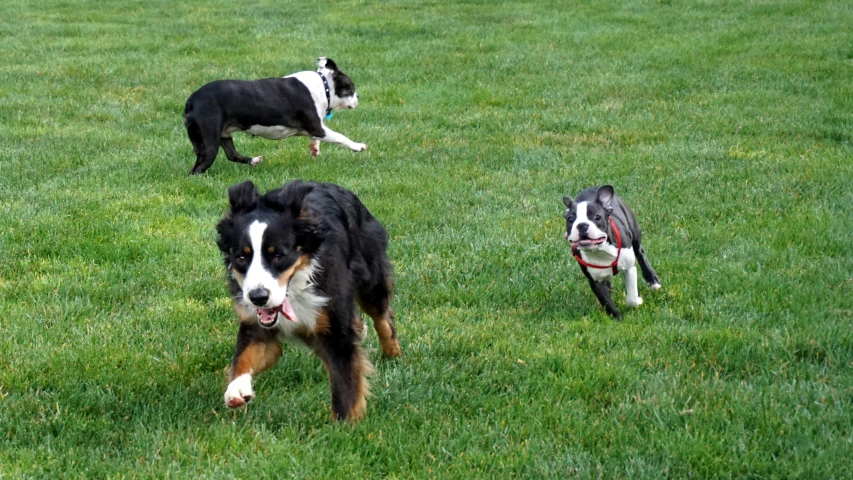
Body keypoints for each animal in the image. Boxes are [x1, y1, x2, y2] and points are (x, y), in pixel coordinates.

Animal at [183, 57, 362, 175]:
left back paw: (254, 161)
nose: (358, 97)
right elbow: (339, 137)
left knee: (232, 154)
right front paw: (357, 146)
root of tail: (191, 101)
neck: (324, 86)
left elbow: (317, 137)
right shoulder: (316, 126)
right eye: (351, 89)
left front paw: (314, 148)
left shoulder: (313, 128)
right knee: (198, 168)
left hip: (224, 134)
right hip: (210, 139)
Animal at [213, 179, 400, 420]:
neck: (295, 287)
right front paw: (237, 388)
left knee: (383, 316)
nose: (258, 298)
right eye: (242, 257)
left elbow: (344, 388)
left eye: (278, 256)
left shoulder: (336, 330)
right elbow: (242, 356)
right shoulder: (256, 324)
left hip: (371, 279)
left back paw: (392, 351)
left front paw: (344, 425)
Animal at [564, 186, 664, 320]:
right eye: (570, 219)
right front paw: (617, 318)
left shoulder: (629, 268)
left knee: (640, 252)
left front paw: (637, 301)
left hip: (634, 231)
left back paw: (652, 279)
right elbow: (606, 301)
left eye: (597, 217)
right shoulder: (594, 281)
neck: (600, 251)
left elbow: (631, 299)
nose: (582, 225)